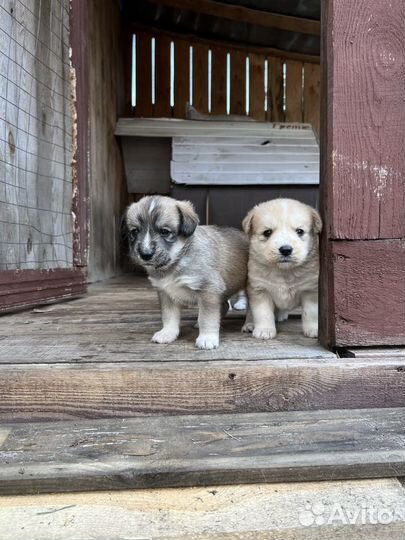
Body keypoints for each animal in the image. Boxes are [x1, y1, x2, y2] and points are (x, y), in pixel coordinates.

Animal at [124, 195, 248, 350]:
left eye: (165, 231)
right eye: (134, 231)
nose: (145, 255)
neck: (177, 260)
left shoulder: (208, 289)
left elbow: (208, 317)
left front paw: (207, 338)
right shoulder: (166, 293)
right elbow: (169, 317)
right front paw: (167, 333)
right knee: (224, 305)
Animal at [240, 200, 322, 338]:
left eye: (300, 231)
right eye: (267, 232)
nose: (286, 250)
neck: (284, 272)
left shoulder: (311, 290)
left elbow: (311, 313)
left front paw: (314, 329)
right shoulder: (259, 290)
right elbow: (262, 313)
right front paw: (264, 330)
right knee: (250, 311)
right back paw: (250, 324)